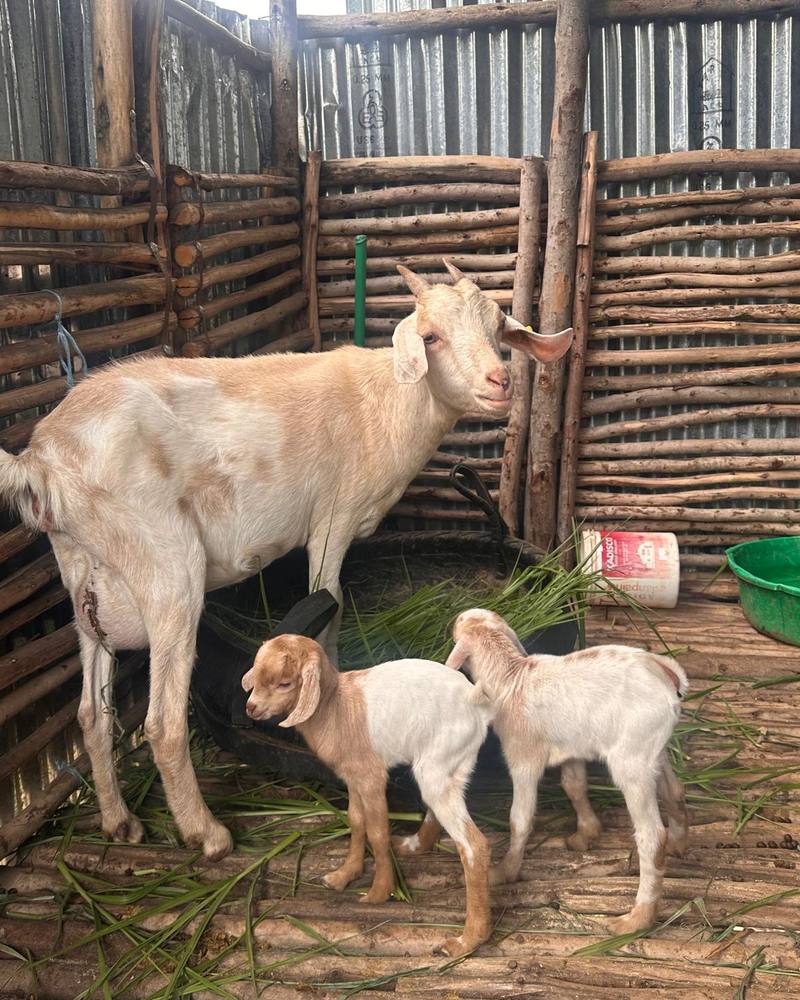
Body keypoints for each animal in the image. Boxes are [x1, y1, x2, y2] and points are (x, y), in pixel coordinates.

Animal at [0, 260, 572, 860]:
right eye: (431, 336)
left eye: (498, 329)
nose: (500, 383)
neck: (386, 401)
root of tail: (40, 462)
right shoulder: (334, 519)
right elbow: (330, 606)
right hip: (166, 566)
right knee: (161, 723)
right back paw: (207, 834)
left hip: (85, 577)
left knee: (92, 712)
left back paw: (118, 821)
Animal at [243, 633, 493, 956]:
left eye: (285, 683)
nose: (251, 708)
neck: (335, 707)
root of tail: (476, 703)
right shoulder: (352, 777)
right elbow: (355, 820)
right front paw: (343, 875)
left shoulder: (372, 776)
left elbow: (377, 830)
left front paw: (379, 892)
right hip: (452, 766)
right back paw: (414, 845)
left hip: (439, 761)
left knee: (473, 845)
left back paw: (467, 940)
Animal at [444, 609, 689, 934]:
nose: (458, 616)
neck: (511, 675)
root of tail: (666, 675)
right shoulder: (572, 749)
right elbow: (574, 786)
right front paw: (586, 834)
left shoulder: (523, 758)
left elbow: (520, 818)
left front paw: (505, 870)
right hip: (654, 751)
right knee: (674, 791)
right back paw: (678, 843)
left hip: (632, 761)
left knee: (651, 836)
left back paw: (636, 918)